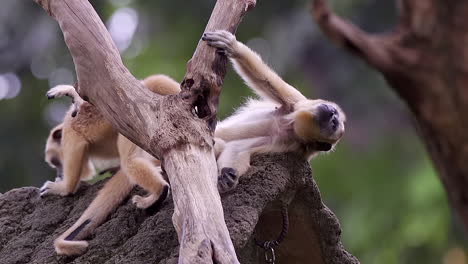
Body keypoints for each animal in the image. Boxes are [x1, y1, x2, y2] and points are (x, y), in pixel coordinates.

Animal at [202, 30, 348, 192]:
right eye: (335, 116)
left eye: (334, 124)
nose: (331, 112)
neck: (290, 126)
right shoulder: (297, 102)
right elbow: (267, 80)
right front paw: (234, 47)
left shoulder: (289, 147)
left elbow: (237, 148)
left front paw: (227, 179)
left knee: (220, 144)